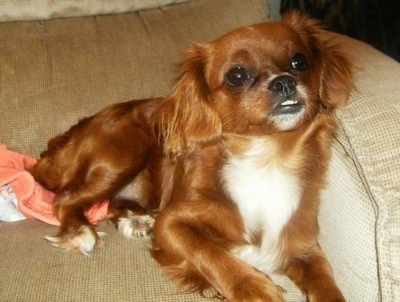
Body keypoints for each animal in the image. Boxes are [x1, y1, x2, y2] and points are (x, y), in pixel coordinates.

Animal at [32, 13, 354, 300]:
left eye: (299, 61)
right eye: (237, 75)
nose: (284, 82)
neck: (268, 156)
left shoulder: (303, 243)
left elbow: (326, 282)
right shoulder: (171, 223)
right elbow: (210, 252)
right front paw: (254, 288)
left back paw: (134, 219)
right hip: (126, 149)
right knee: (66, 199)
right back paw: (82, 232)